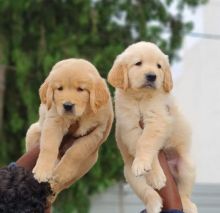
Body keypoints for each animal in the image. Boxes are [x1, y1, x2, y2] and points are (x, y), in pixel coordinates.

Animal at [25, 58, 113, 195]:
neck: (80, 116)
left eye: (81, 89)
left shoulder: (97, 132)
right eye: (59, 88)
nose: (67, 105)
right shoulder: (54, 121)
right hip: (33, 132)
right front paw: (42, 171)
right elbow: (49, 146)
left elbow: (76, 152)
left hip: (88, 162)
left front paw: (61, 173)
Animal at [107, 41, 197, 213]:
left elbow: (146, 142)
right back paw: (153, 204)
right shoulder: (129, 125)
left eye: (159, 66)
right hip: (130, 174)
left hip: (186, 166)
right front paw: (153, 174)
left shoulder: (158, 119)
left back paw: (188, 205)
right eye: (138, 63)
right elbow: (140, 143)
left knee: (184, 192)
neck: (140, 97)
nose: (152, 76)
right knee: (148, 192)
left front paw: (149, 169)